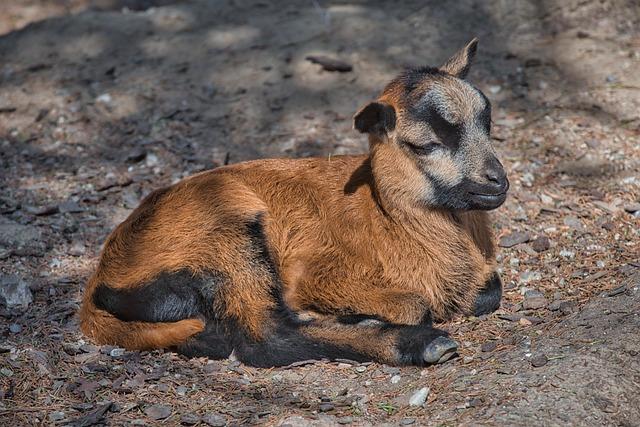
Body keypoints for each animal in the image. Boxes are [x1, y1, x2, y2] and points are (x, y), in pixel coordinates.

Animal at [81, 39, 510, 368]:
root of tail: (100, 280)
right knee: (264, 337)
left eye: (486, 124)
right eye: (424, 144)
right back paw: (422, 344)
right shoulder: (316, 272)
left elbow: (490, 290)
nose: (498, 181)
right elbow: (414, 305)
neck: (383, 216)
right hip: (226, 234)